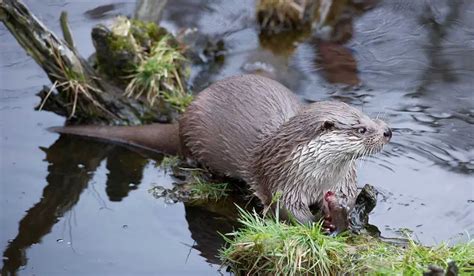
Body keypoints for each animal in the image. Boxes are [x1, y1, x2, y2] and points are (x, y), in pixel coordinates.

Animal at [52, 74, 392, 226]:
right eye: (361, 129)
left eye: (368, 118)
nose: (387, 131)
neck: (318, 178)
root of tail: (182, 119)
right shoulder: (281, 181)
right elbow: (288, 212)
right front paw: (320, 223)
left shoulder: (342, 181)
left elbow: (349, 199)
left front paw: (342, 212)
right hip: (192, 140)